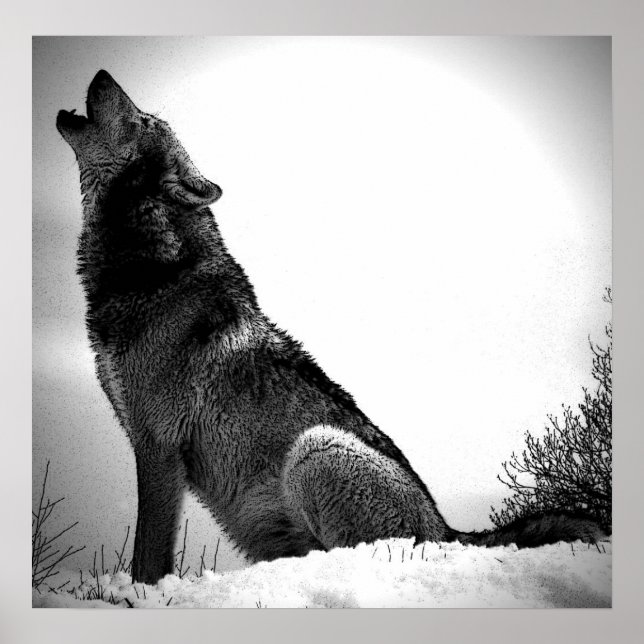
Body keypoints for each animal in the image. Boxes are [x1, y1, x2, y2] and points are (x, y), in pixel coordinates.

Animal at [57, 70, 603, 584]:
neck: (154, 270)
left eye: (141, 120)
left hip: (315, 448)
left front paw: (137, 596)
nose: (103, 74)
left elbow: (147, 557)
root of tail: (448, 531)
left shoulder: (159, 448)